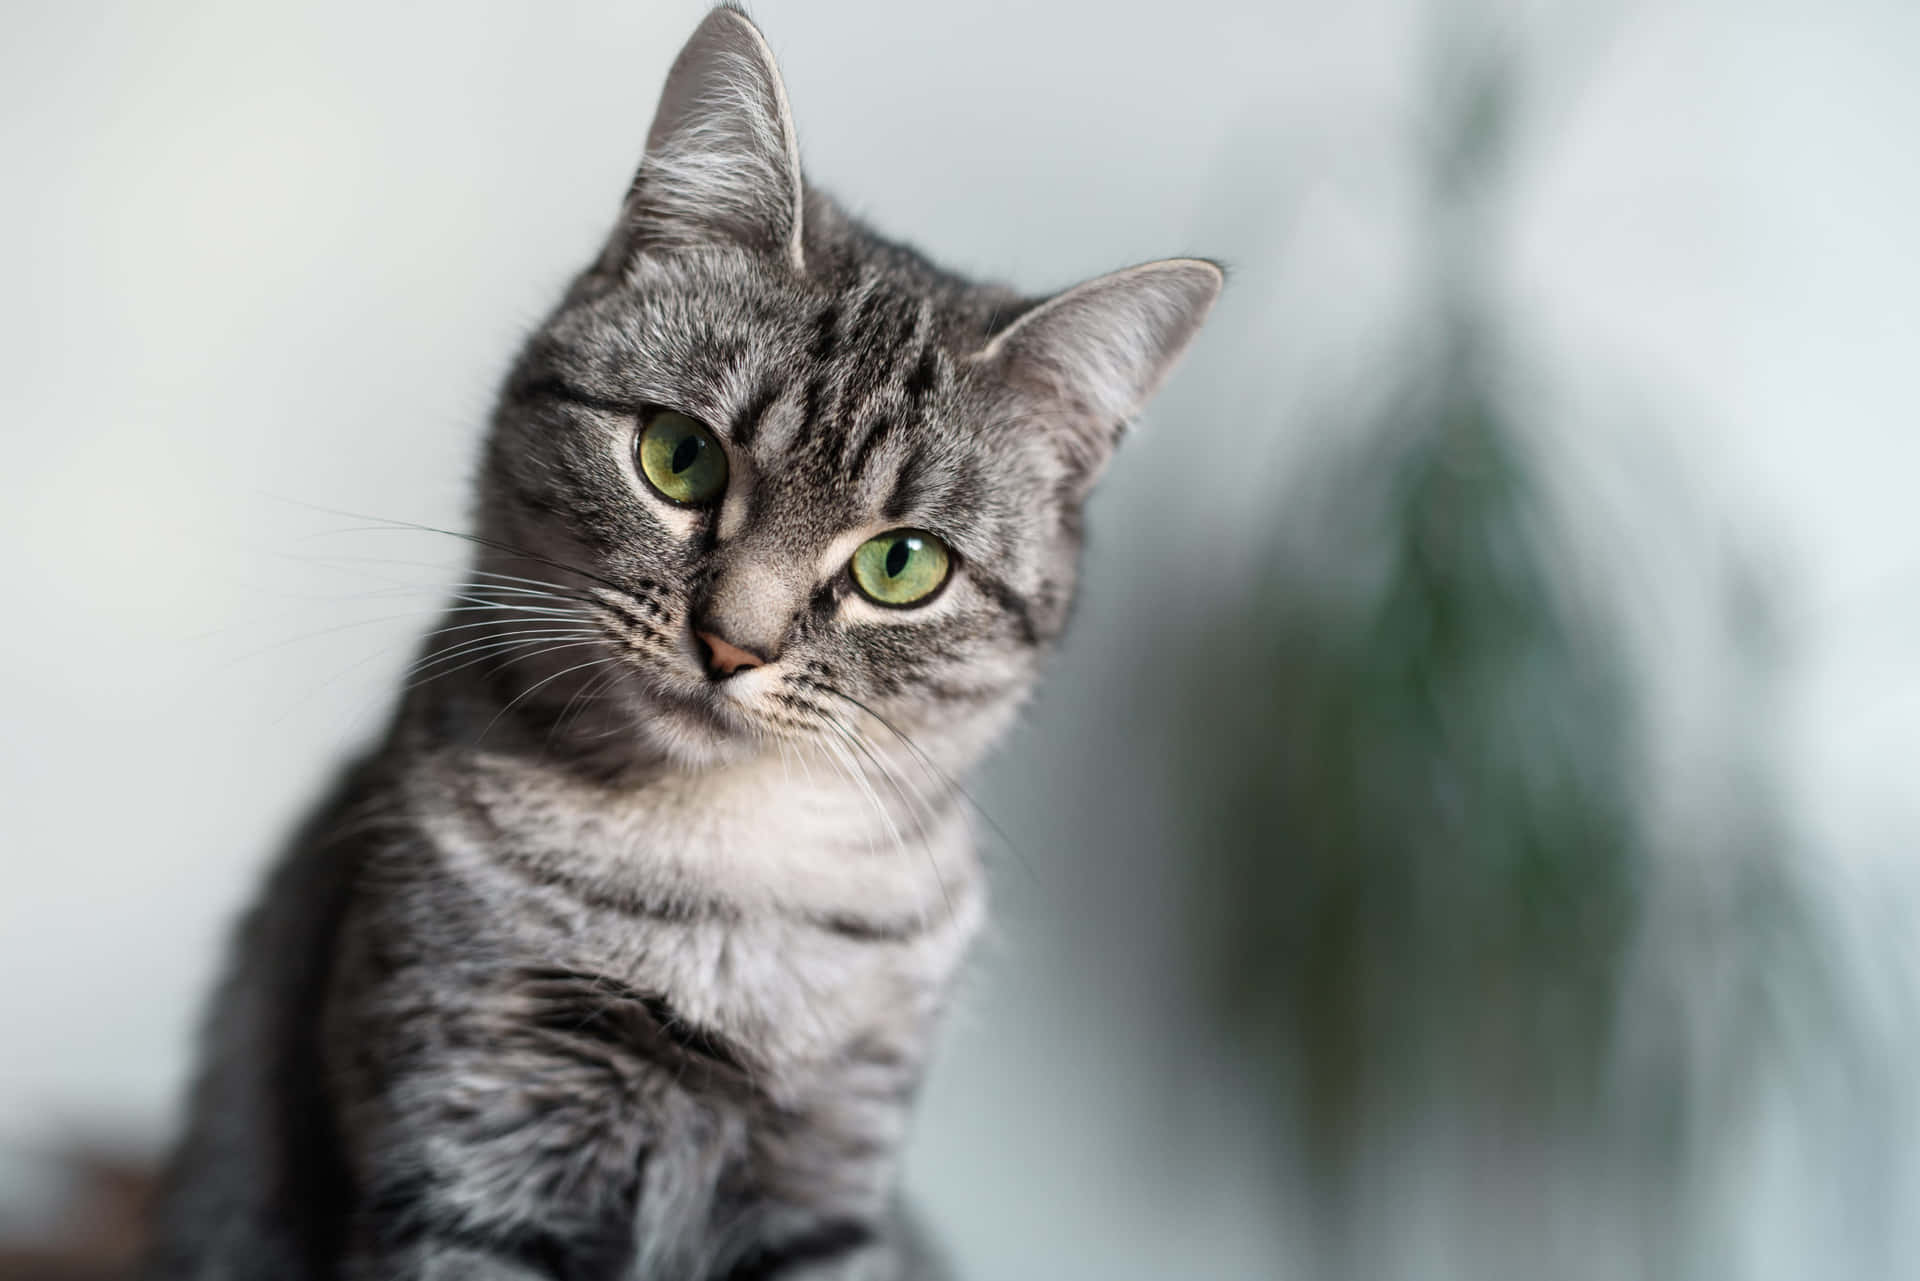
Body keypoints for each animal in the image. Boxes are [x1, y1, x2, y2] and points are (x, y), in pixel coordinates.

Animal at [142, 10, 1221, 1281]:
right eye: (679, 457)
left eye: (902, 565)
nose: (731, 643)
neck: (717, 877)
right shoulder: (468, 1141)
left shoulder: (827, 1179)